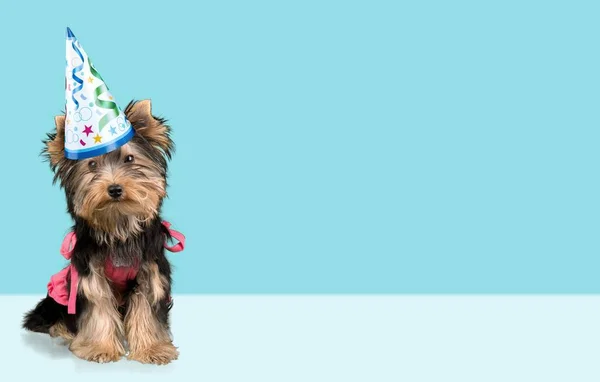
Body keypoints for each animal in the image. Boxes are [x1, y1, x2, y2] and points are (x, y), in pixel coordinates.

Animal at [21, 99, 183, 364]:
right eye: (92, 164)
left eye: (129, 159)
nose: (114, 188)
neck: (118, 224)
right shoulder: (89, 272)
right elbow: (98, 305)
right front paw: (99, 347)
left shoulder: (150, 270)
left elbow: (146, 306)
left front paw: (152, 349)